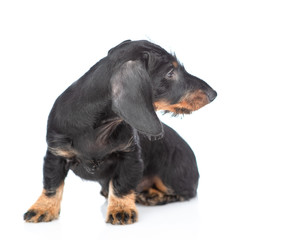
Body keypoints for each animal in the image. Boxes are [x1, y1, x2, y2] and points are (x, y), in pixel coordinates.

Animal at [23, 39, 216, 225]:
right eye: (170, 73)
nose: (213, 94)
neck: (97, 129)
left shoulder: (129, 157)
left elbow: (121, 185)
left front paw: (121, 210)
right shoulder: (56, 155)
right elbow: (52, 185)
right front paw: (42, 208)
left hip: (169, 175)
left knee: (185, 192)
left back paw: (151, 195)